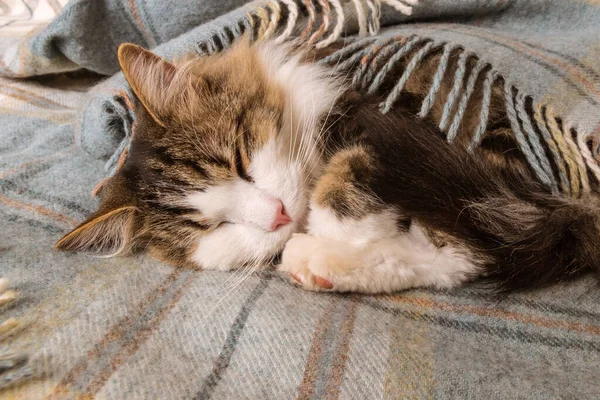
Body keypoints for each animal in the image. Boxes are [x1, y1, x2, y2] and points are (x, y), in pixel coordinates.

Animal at [54, 38, 596, 294]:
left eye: (240, 160)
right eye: (214, 227)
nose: (276, 215)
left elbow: (343, 183)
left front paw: (336, 224)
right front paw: (331, 238)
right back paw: (315, 263)